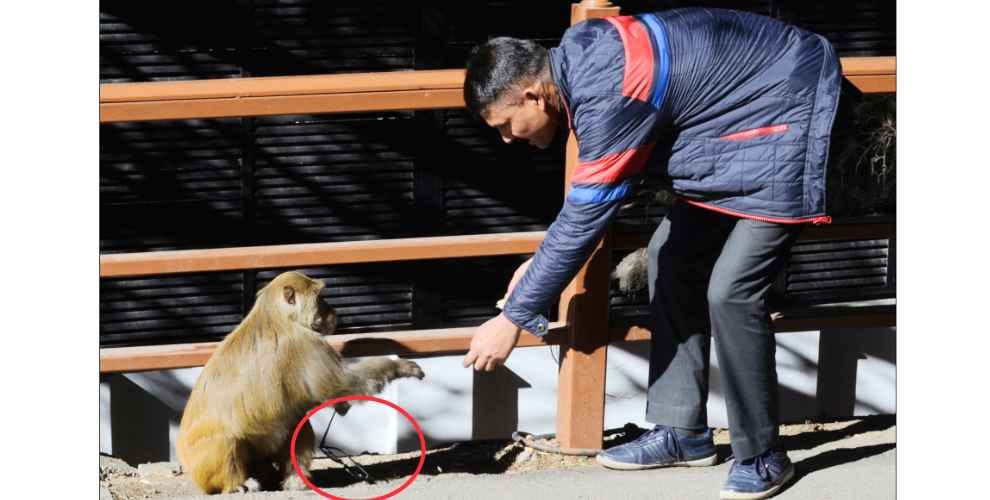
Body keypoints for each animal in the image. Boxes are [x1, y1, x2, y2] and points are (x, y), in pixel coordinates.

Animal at [176, 271, 425, 494]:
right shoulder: (307, 343)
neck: (276, 316)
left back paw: (294, 478)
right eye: (320, 297)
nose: (333, 311)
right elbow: (339, 386)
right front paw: (398, 366)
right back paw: (239, 484)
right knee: (227, 441)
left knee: (297, 423)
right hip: (206, 466)